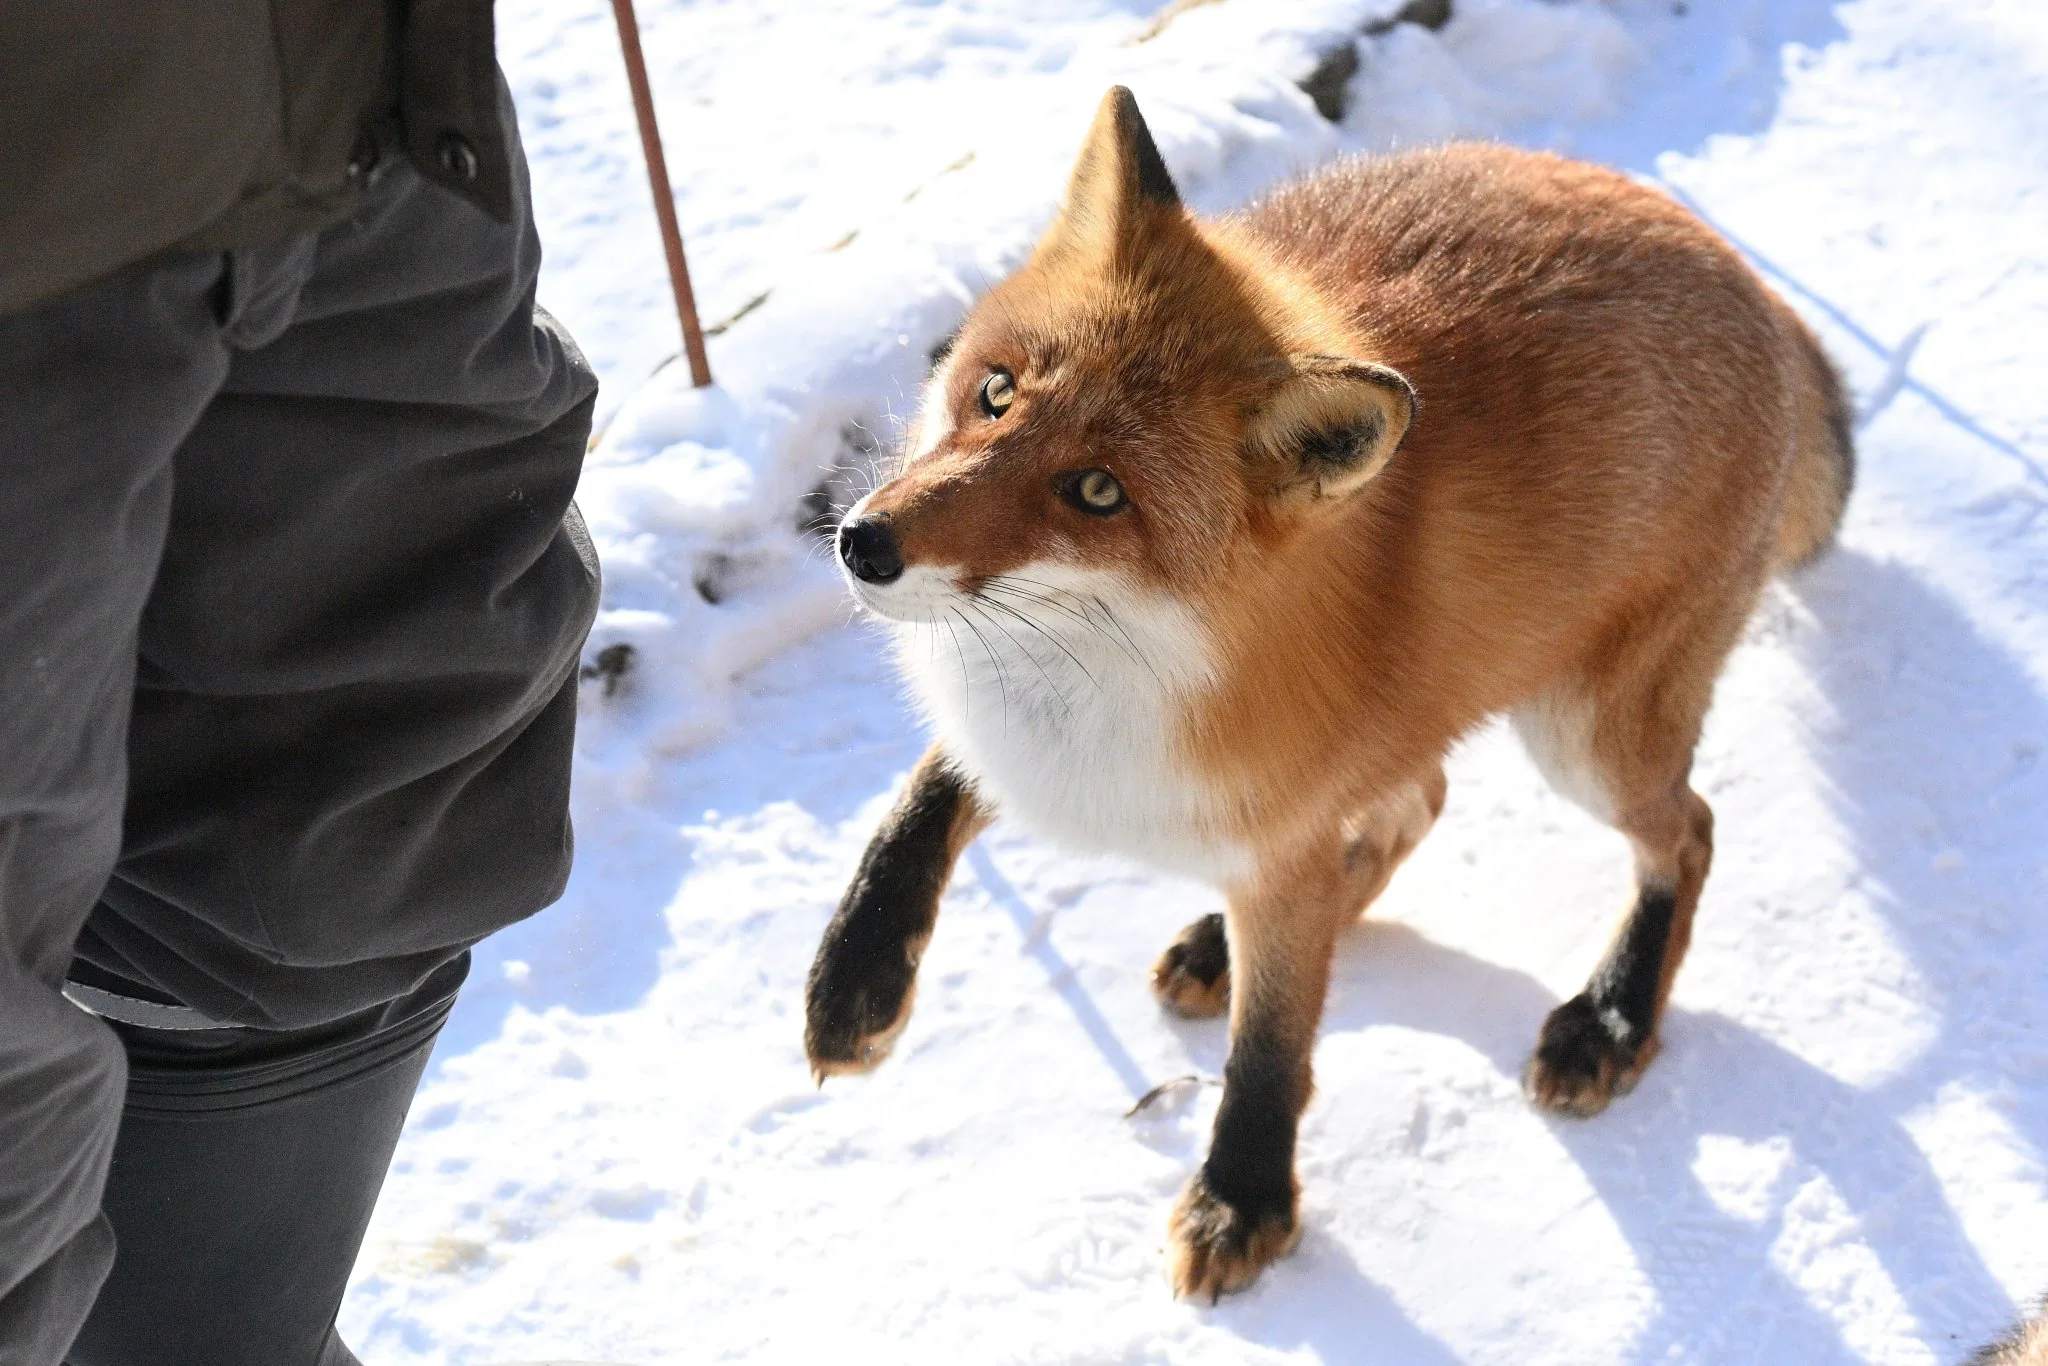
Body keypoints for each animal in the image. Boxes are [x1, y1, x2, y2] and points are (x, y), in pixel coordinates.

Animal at [804, 86, 1854, 1299]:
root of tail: (1744, 272)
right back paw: (1228, 945)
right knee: (1418, 805)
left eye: (1098, 492)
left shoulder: (1270, 822)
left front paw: (1243, 1197)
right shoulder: (1017, 742)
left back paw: (1612, 1015)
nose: (866, 544)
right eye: (995, 391)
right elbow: (915, 810)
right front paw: (856, 980)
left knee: (1685, 831)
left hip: (1583, 740)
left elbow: (1270, 1051)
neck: (1126, 670)